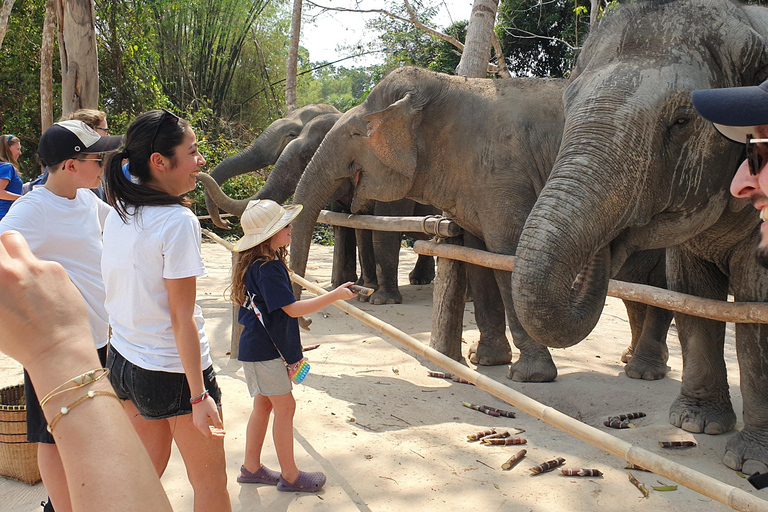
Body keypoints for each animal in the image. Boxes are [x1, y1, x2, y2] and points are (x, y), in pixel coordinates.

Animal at [286, 65, 672, 380]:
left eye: (356, 134)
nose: (306, 322)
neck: (446, 85)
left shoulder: (504, 173)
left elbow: (507, 253)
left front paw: (529, 376)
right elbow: (478, 255)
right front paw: (485, 360)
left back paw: (644, 371)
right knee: (641, 283)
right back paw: (637, 363)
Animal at [510, 0, 768, 474]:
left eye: (682, 121)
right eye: (567, 105)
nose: (608, 243)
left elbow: (755, 306)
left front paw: (750, 463)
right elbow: (689, 294)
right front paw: (696, 425)